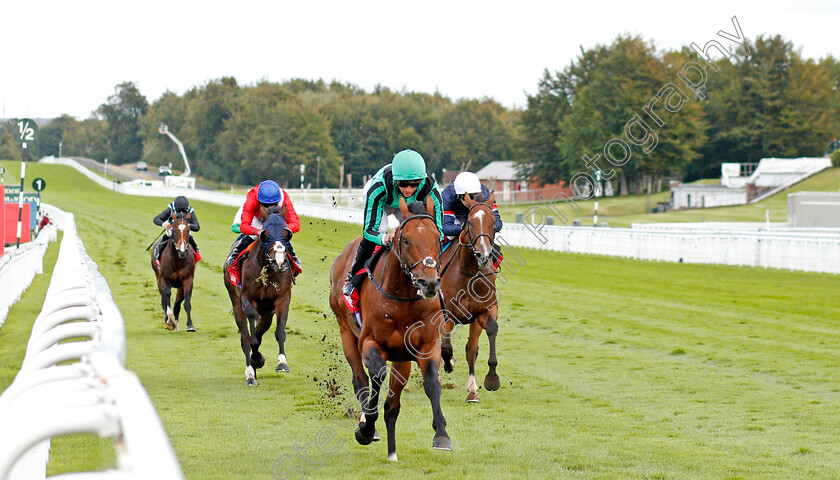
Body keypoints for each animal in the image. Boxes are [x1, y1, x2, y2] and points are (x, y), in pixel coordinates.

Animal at [223, 209, 296, 386]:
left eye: (287, 233)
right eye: (264, 234)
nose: (279, 262)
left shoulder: (282, 299)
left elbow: (279, 331)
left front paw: (282, 363)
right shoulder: (247, 298)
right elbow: (251, 338)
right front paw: (256, 360)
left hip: (267, 312)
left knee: (260, 330)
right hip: (236, 301)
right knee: (245, 337)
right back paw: (250, 374)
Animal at [328, 195, 452, 462]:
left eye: (438, 238)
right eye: (405, 240)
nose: (429, 283)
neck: (402, 300)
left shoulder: (427, 345)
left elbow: (432, 384)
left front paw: (441, 435)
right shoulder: (369, 342)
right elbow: (376, 374)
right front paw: (366, 428)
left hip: (401, 359)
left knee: (391, 405)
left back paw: (391, 450)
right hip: (346, 331)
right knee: (360, 380)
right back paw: (368, 424)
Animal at [436, 193, 502, 404]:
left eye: (493, 222)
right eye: (470, 222)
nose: (484, 254)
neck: (469, 275)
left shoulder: (483, 313)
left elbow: (474, 347)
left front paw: (488, 381)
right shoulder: (445, 315)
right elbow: (445, 348)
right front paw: (447, 364)